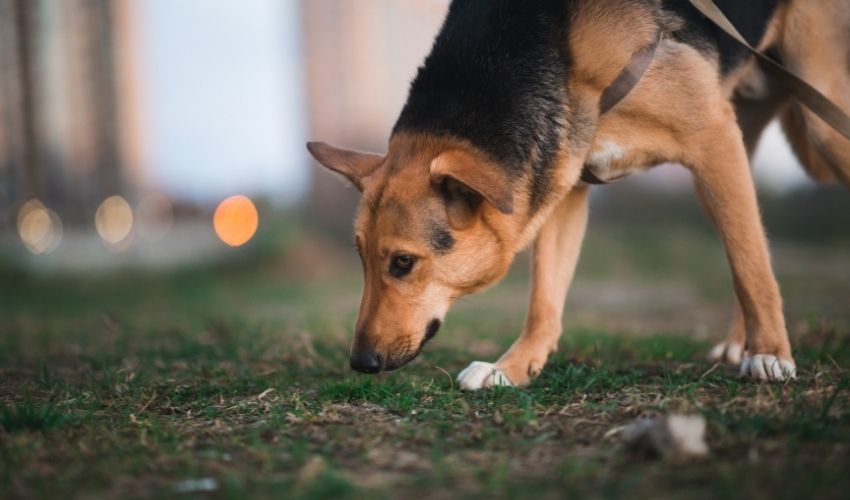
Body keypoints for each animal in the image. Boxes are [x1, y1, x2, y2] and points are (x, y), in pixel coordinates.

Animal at [304, 0, 848, 388]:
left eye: (403, 263)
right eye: (360, 258)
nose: (360, 362)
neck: (552, 47)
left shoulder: (711, 137)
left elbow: (752, 267)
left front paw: (772, 354)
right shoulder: (561, 184)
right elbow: (545, 298)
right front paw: (512, 368)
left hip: (814, 124)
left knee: (749, 250)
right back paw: (739, 343)